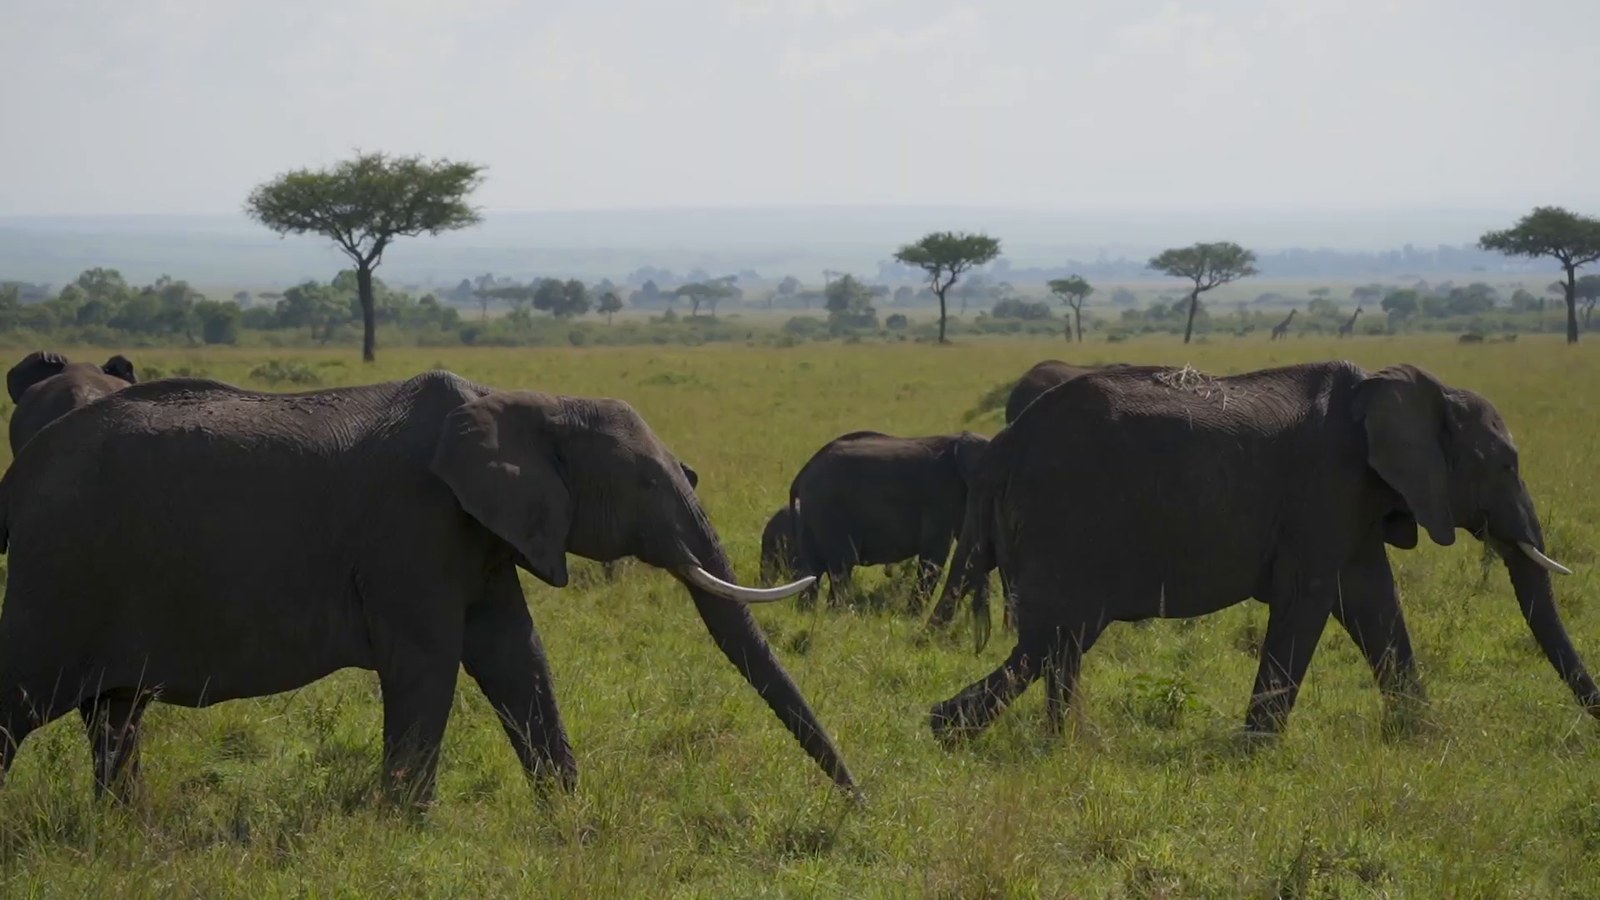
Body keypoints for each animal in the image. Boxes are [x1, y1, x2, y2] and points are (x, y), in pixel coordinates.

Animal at [0, 370, 857, 805]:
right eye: (647, 483)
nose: (859, 803)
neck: (525, 401)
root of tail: (19, 476)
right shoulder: (412, 528)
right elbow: (428, 664)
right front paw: (401, 832)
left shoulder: (481, 532)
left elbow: (519, 657)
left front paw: (570, 819)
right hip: (57, 575)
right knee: (25, 699)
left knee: (115, 717)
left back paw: (125, 835)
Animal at [787, 429, 990, 610]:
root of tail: (802, 474)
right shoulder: (941, 495)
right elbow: (935, 555)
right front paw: (913, 617)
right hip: (830, 510)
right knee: (841, 568)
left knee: (814, 571)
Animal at [927, 361, 1593, 745]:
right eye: (1505, 465)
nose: (1594, 720)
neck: (1411, 389)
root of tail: (1004, 445)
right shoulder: (1327, 488)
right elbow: (1312, 600)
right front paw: (1255, 752)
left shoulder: (1352, 502)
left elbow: (1375, 604)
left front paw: (1422, 739)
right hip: (1064, 519)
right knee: (1058, 636)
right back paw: (957, 732)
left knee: (1056, 644)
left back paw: (1037, 741)